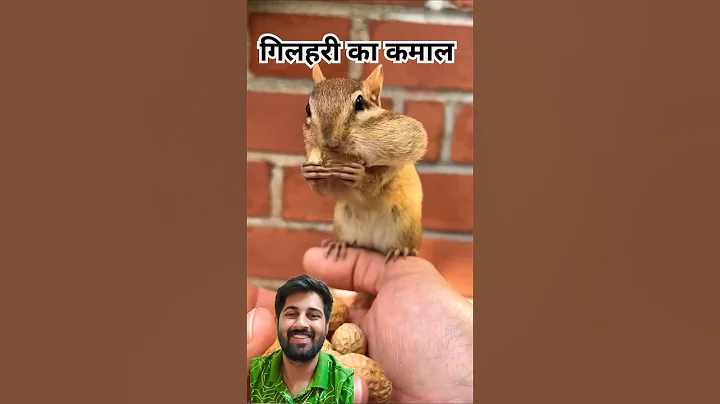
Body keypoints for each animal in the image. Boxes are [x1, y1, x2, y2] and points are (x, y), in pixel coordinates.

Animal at [300, 64, 429, 264]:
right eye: (307, 108)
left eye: (360, 103)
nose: (329, 142)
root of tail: (371, 243)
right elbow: (330, 190)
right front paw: (309, 173)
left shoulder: (400, 148)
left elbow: (380, 177)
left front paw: (360, 177)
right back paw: (341, 244)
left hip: (405, 226)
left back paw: (402, 250)